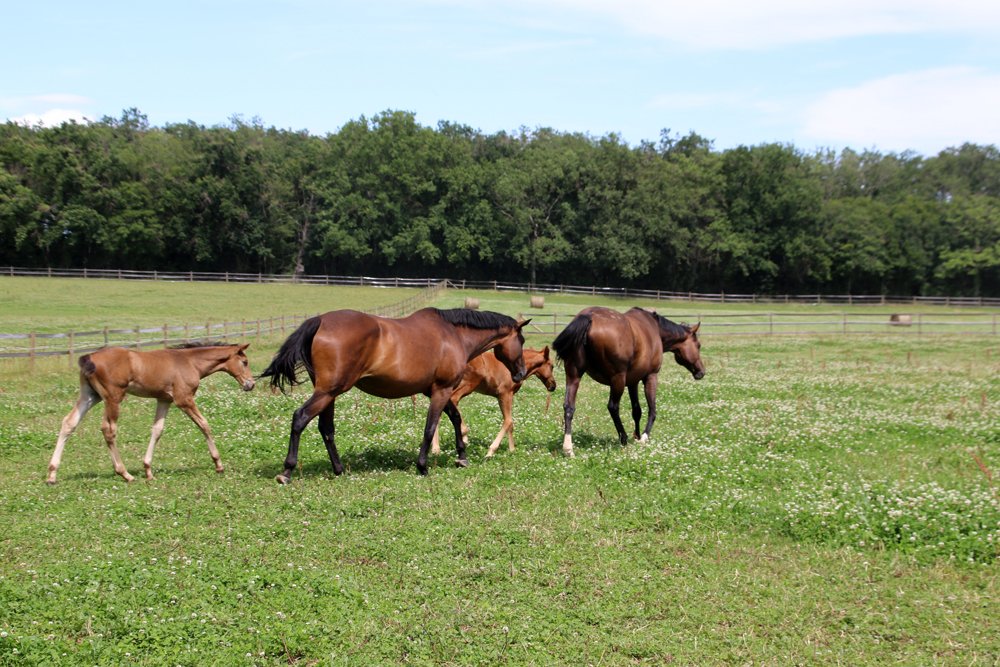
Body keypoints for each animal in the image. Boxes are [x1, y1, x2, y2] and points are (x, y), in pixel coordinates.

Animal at [46, 342, 255, 484]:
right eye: (244, 362)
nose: (250, 384)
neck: (190, 362)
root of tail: (89, 357)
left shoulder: (164, 400)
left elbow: (157, 430)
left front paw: (148, 469)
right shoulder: (184, 399)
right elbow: (204, 424)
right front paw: (218, 465)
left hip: (90, 396)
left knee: (69, 423)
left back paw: (52, 474)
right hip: (113, 398)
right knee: (108, 429)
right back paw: (125, 474)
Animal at [259, 308, 530, 481]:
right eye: (522, 340)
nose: (520, 374)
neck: (453, 334)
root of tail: (320, 321)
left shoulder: (434, 390)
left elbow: (455, 418)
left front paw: (461, 456)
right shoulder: (441, 390)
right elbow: (431, 427)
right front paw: (423, 467)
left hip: (329, 394)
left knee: (326, 429)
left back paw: (339, 470)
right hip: (328, 392)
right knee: (300, 418)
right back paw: (287, 471)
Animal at [552, 307, 704, 457]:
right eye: (698, 345)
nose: (701, 372)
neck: (655, 328)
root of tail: (588, 317)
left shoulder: (632, 382)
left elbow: (637, 410)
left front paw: (637, 435)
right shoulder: (651, 377)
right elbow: (652, 409)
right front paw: (643, 437)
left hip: (574, 376)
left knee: (569, 407)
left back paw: (568, 448)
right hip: (618, 379)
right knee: (613, 407)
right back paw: (623, 438)